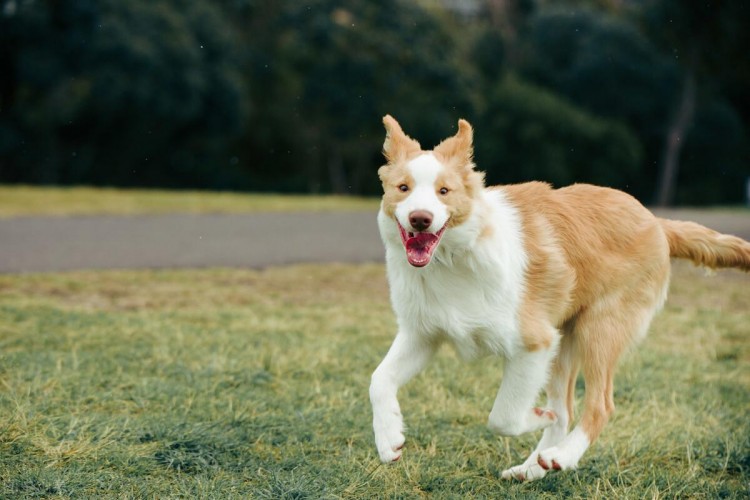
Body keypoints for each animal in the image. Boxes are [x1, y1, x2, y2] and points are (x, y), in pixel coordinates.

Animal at [370, 115, 750, 482]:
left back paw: (561, 456)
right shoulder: (423, 334)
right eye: (403, 188)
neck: (453, 257)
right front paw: (390, 440)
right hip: (564, 342)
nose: (421, 219)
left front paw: (538, 415)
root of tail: (656, 222)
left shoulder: (533, 343)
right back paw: (531, 469)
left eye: (444, 191)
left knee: (599, 405)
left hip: (600, 329)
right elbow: (379, 379)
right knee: (567, 410)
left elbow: (503, 416)